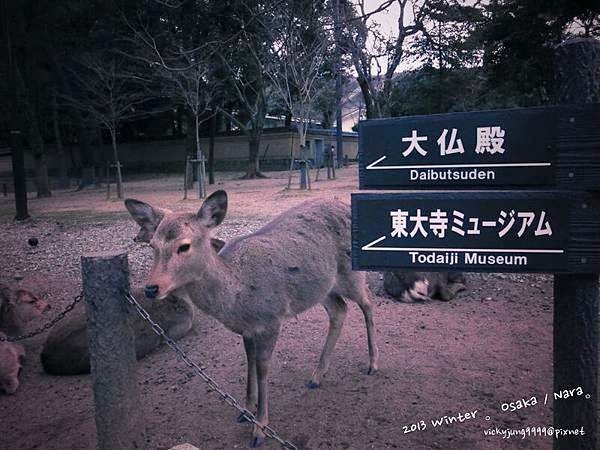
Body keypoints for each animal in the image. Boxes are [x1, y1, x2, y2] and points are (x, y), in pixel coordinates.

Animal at [127, 190, 380, 446]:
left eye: (184, 246)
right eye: (153, 245)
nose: (151, 288)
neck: (236, 297)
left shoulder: (271, 319)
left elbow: (262, 368)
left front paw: (259, 429)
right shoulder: (247, 330)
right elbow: (249, 362)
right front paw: (245, 411)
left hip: (351, 273)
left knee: (368, 302)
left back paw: (373, 364)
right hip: (322, 287)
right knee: (340, 310)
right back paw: (317, 376)